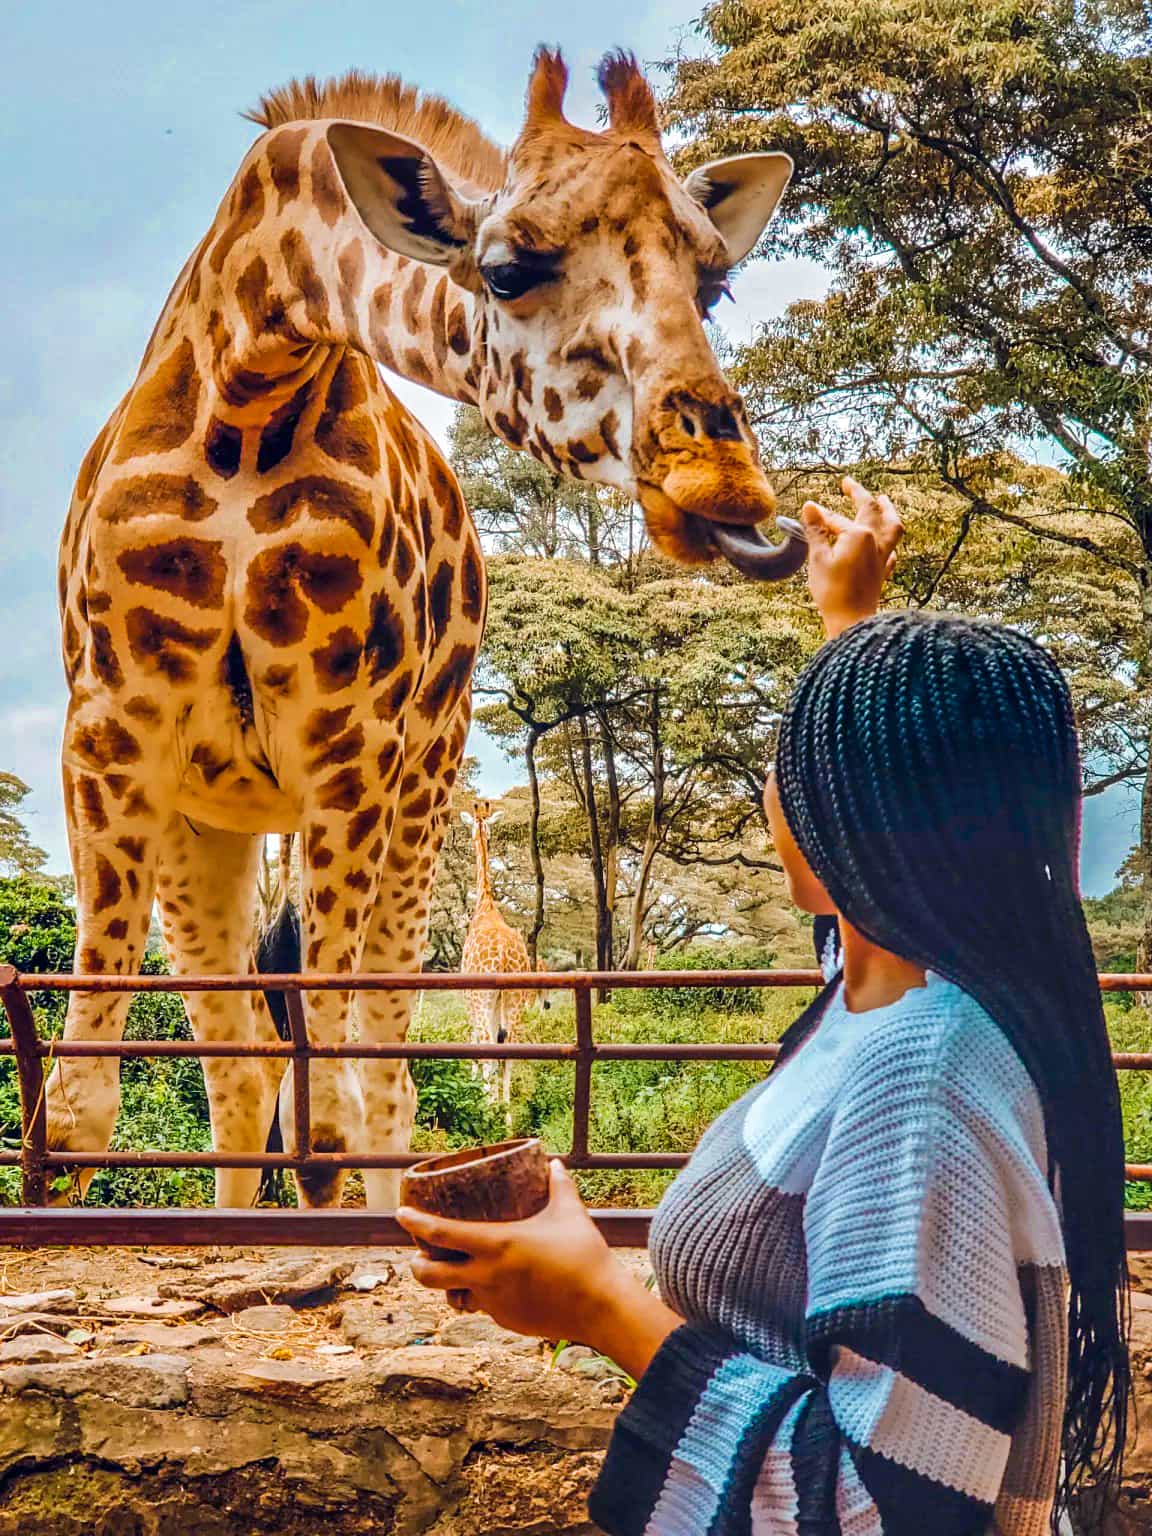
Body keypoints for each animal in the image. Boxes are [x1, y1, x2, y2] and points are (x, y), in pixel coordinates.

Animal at [47, 48, 806, 1210]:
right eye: (504, 271)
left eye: (713, 283)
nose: (723, 486)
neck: (247, 394)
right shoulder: (105, 735)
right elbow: (80, 1111)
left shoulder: (350, 746)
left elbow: (334, 1099)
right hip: (208, 822)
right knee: (244, 1075)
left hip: (416, 796)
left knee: (374, 1078)